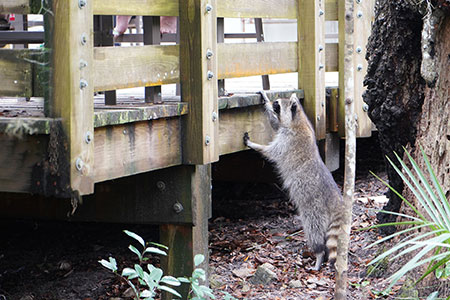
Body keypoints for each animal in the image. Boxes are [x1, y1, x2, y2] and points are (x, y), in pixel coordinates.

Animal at [244, 91, 342, 270]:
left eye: (278, 104)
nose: (273, 103)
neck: (299, 119)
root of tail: (337, 202)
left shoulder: (289, 140)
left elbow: (271, 152)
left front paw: (254, 145)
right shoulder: (287, 128)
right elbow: (276, 124)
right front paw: (265, 99)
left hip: (315, 209)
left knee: (314, 230)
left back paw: (319, 254)